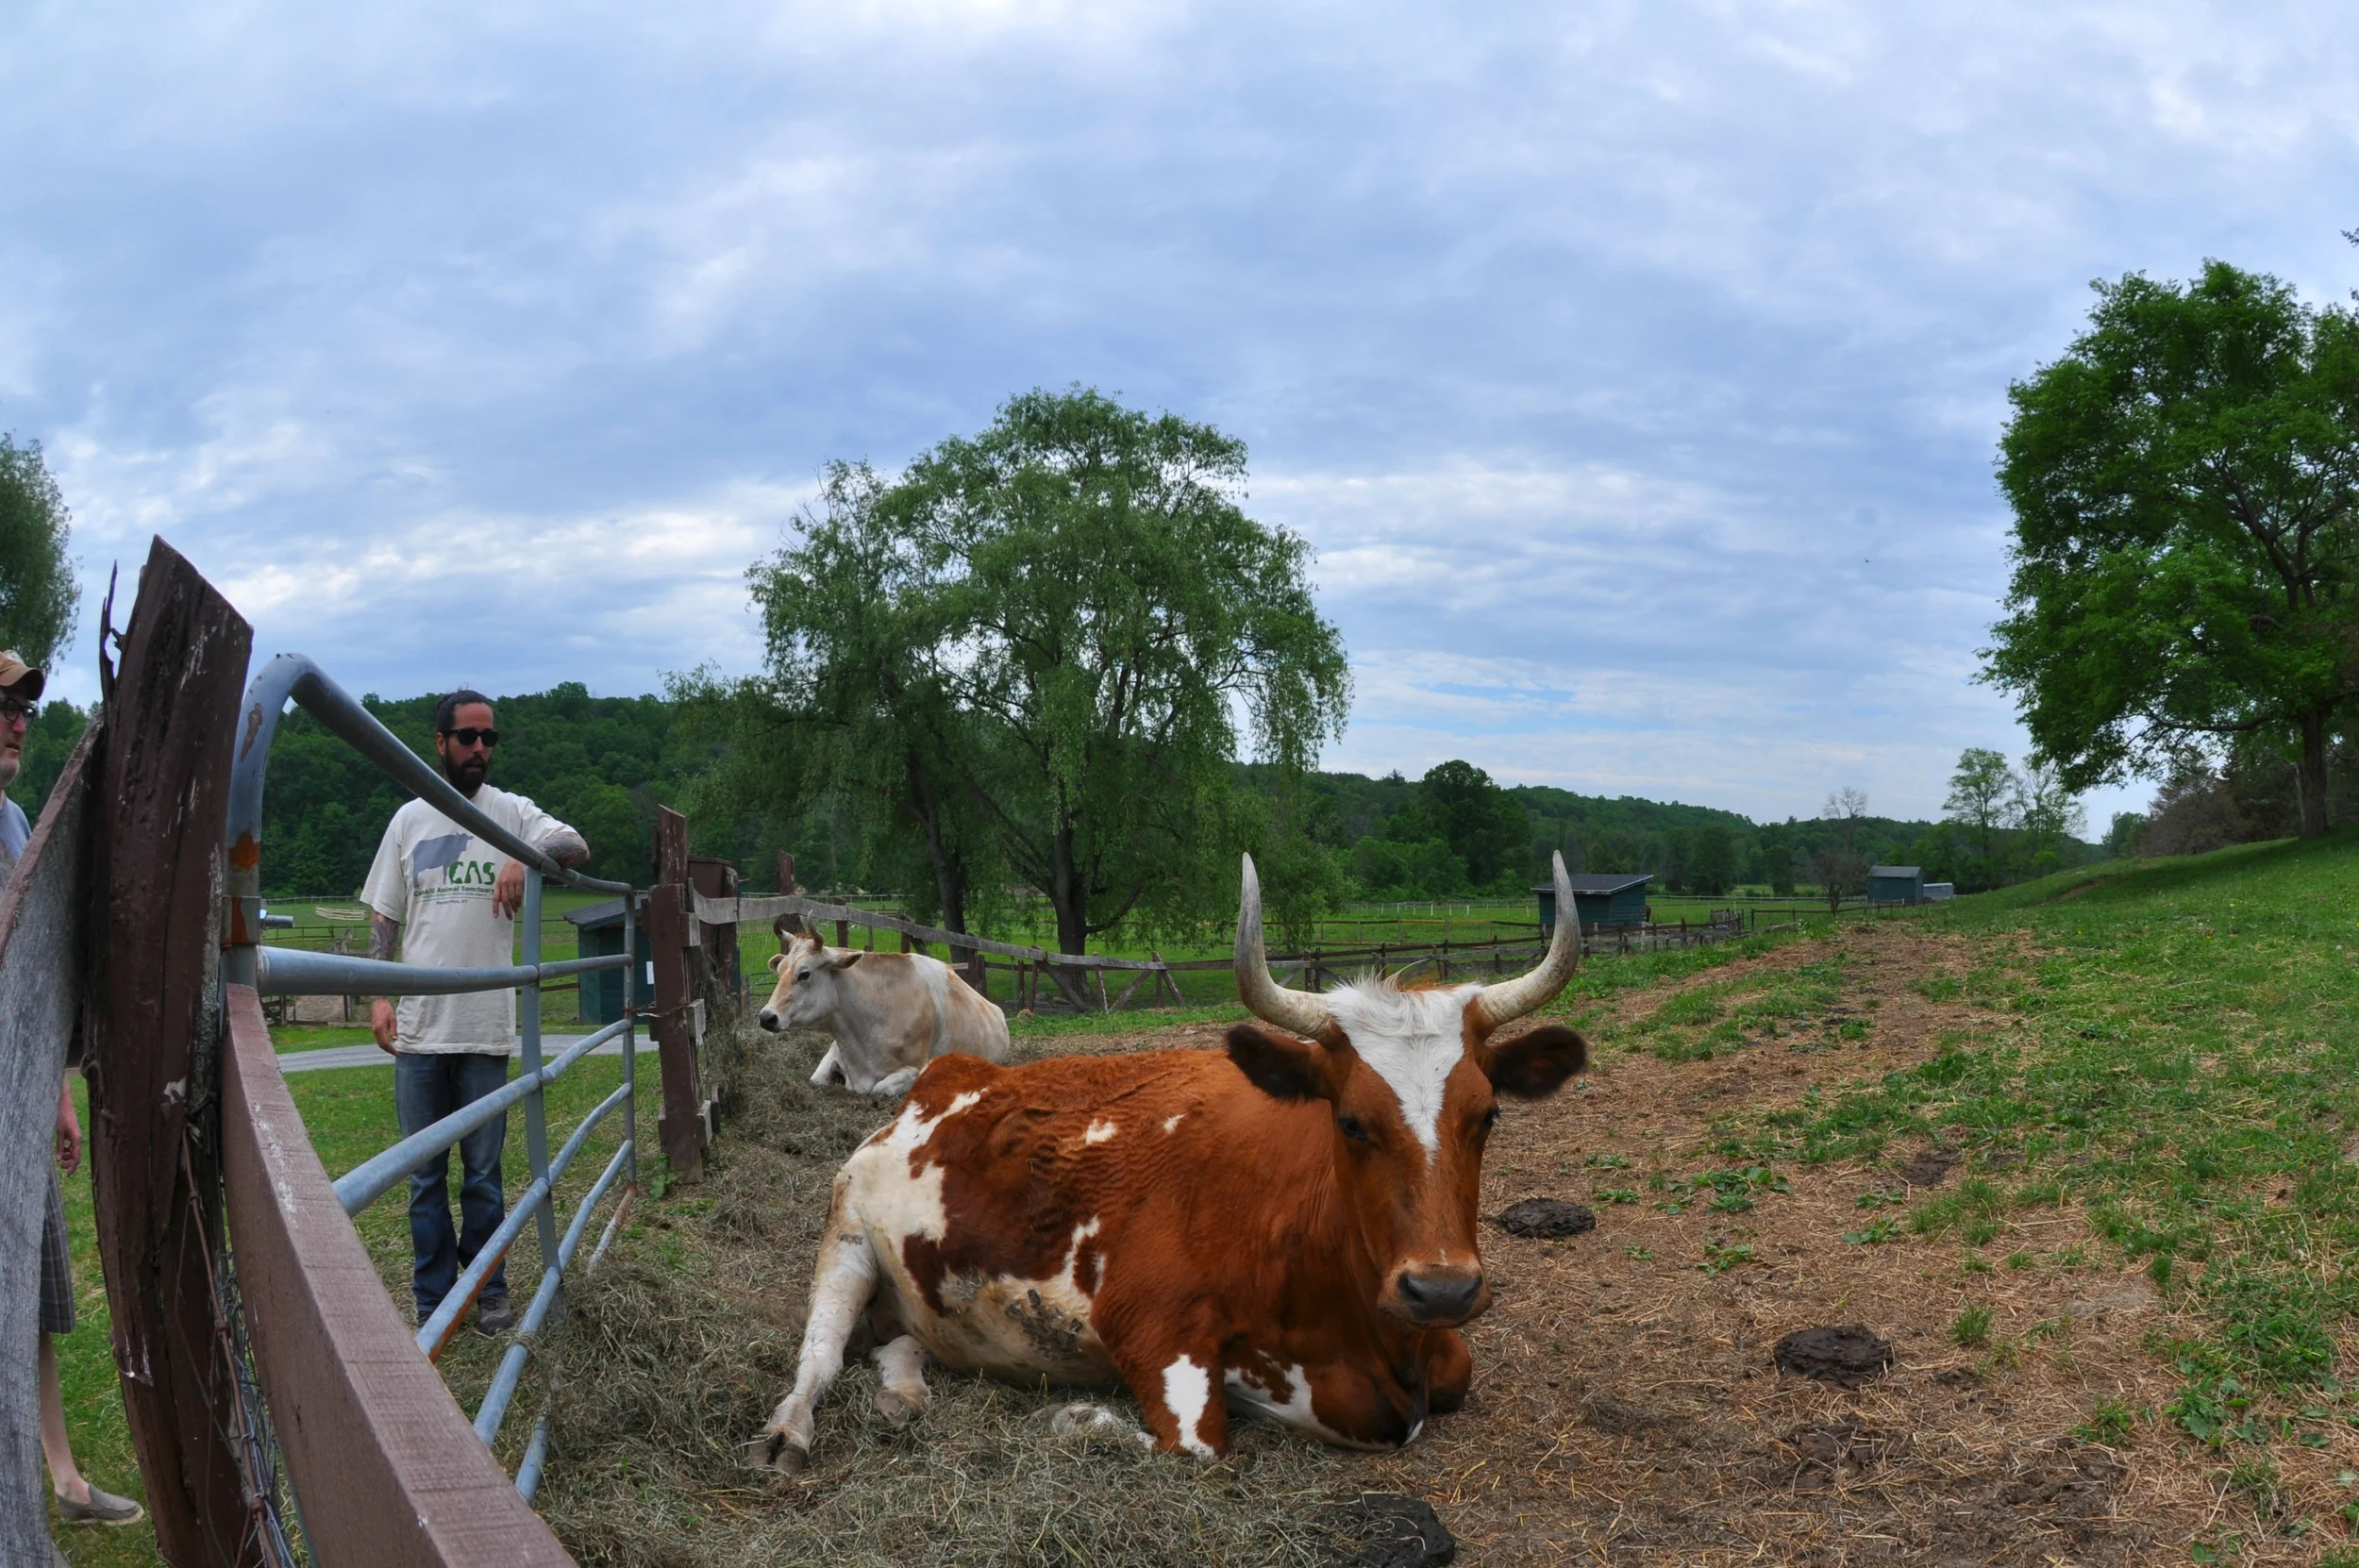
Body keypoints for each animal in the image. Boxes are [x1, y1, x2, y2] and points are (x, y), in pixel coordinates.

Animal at [757, 931, 1012, 1096]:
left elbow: (879, 1090)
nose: (766, 1016)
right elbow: (816, 1080)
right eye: (779, 971)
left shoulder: (916, 1068)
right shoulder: (834, 1051)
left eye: (804, 974)